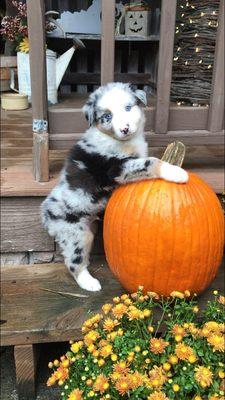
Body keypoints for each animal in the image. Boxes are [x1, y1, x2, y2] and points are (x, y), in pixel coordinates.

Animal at [40, 83, 188, 292]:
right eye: (107, 117)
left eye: (128, 108)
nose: (125, 129)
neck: (122, 142)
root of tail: (46, 214)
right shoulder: (116, 168)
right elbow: (150, 162)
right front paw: (176, 171)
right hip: (75, 234)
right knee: (73, 262)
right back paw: (90, 283)